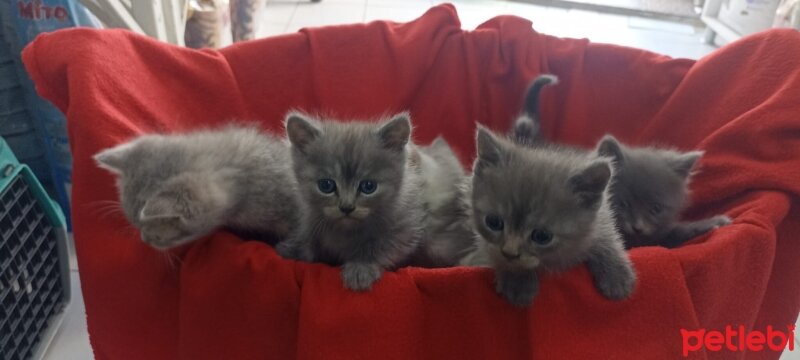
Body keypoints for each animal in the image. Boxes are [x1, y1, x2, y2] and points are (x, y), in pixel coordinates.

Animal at [276, 111, 428, 292]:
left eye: (368, 186)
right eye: (326, 185)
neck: (346, 231)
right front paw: (293, 249)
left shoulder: (404, 229)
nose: (347, 207)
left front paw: (360, 268)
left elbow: (383, 246)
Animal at [460, 127, 636, 306]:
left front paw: (617, 276)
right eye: (494, 222)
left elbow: (605, 238)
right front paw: (518, 280)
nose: (509, 253)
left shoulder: (599, 222)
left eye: (542, 236)